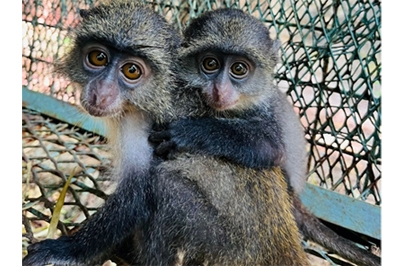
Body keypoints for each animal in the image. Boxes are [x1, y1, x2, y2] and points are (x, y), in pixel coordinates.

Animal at [22, 1, 310, 264]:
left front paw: (64, 250)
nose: (101, 92)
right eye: (98, 58)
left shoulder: (139, 122)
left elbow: (136, 196)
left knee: (164, 185)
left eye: (131, 70)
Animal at [148, 7, 380, 266]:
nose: (219, 89)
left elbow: (272, 149)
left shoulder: (266, 113)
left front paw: (188, 132)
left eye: (239, 69)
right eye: (210, 63)